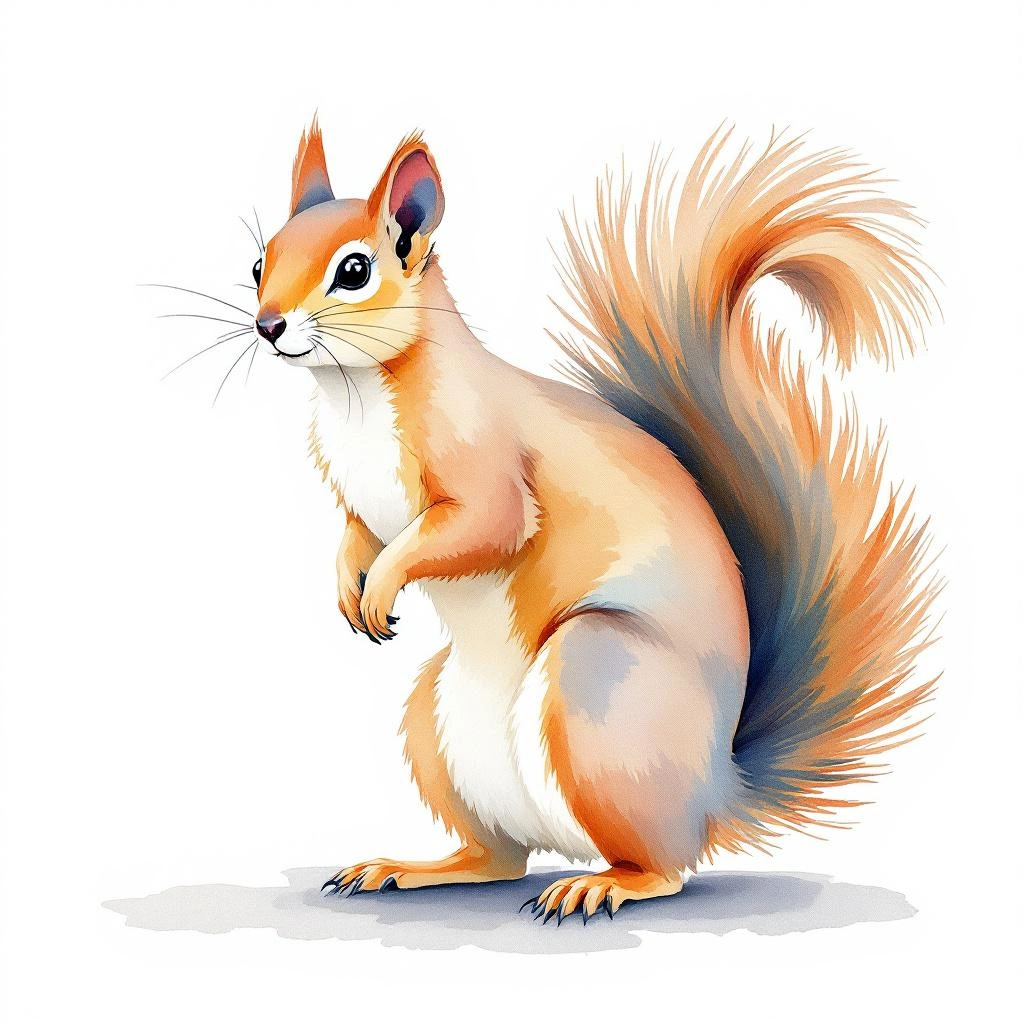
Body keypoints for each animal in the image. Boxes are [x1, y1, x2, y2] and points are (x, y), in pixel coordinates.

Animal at [244, 119, 938, 923]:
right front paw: (347, 584)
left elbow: (478, 527)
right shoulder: (360, 499)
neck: (353, 392)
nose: (267, 325)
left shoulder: (484, 464)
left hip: (597, 685)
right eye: (259, 260)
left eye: (354, 270)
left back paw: (604, 884)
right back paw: (411, 868)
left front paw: (383, 583)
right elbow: (359, 533)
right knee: (498, 859)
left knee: (663, 867)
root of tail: (716, 792)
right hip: (436, 723)